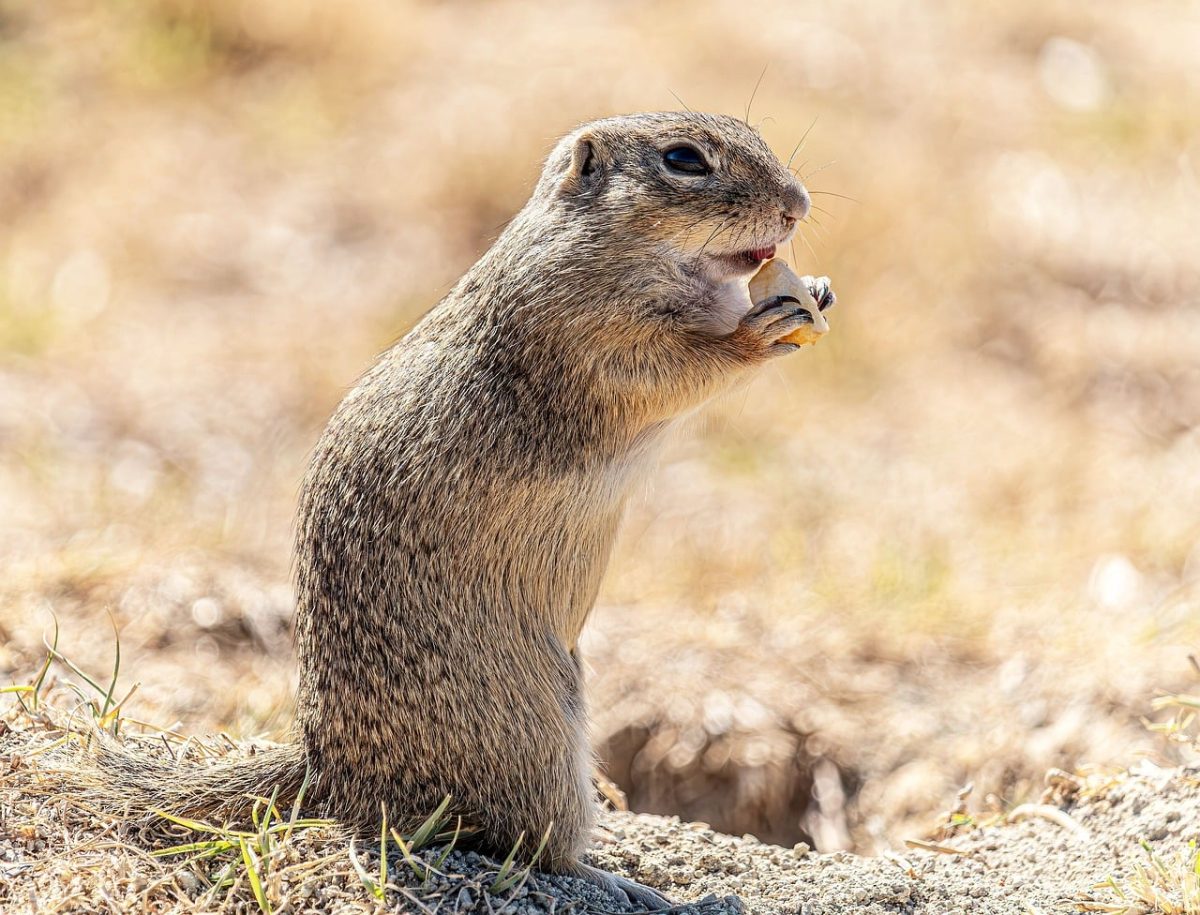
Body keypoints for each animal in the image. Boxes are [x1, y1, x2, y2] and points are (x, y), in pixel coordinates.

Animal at [88, 111, 834, 909]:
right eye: (684, 160)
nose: (798, 205)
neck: (606, 255)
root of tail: (332, 776)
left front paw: (816, 290)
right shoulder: (591, 341)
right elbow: (684, 366)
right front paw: (764, 327)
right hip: (538, 738)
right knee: (536, 845)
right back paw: (635, 885)